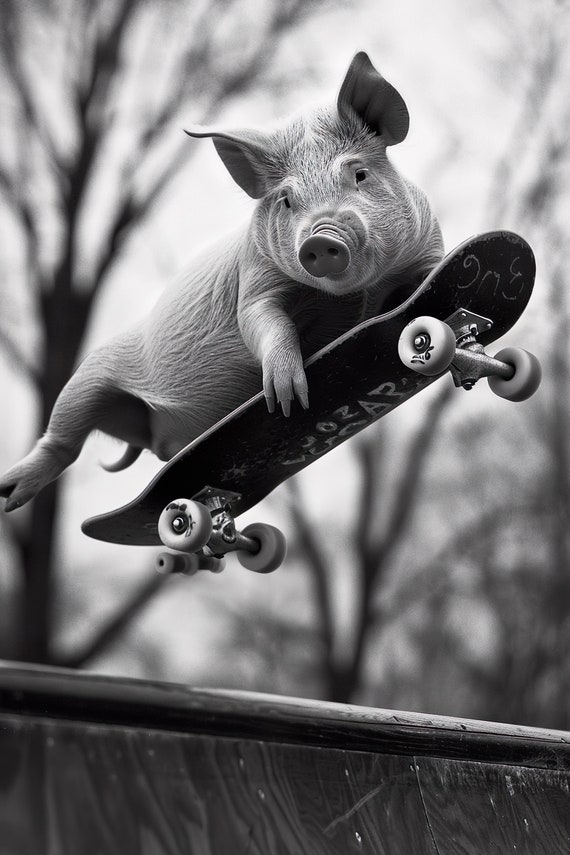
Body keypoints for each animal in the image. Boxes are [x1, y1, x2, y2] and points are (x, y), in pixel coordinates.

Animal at [0, 51, 443, 512]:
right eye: (287, 200)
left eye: (359, 175)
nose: (320, 238)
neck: (355, 298)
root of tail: (158, 438)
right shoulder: (256, 278)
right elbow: (263, 322)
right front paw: (287, 400)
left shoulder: (425, 250)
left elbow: (427, 279)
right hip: (90, 374)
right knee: (63, 435)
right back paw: (10, 494)